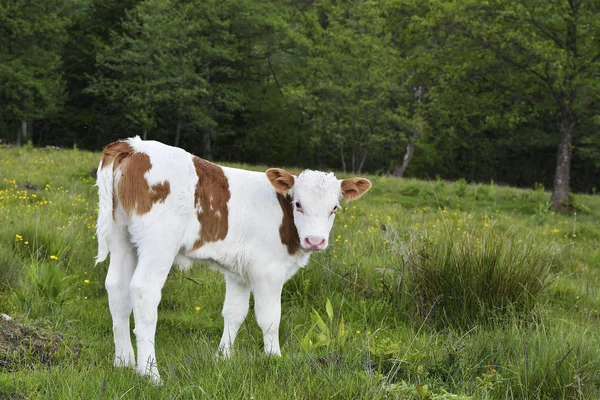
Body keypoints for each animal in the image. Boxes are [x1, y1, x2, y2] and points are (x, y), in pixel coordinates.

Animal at [95, 137, 370, 382]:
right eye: (298, 204)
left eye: (334, 208)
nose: (315, 240)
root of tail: (133, 145)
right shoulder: (268, 271)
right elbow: (270, 318)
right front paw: (274, 358)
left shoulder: (239, 272)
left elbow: (234, 313)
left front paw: (223, 358)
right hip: (159, 242)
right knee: (144, 292)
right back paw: (150, 374)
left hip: (122, 237)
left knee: (117, 288)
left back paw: (123, 362)